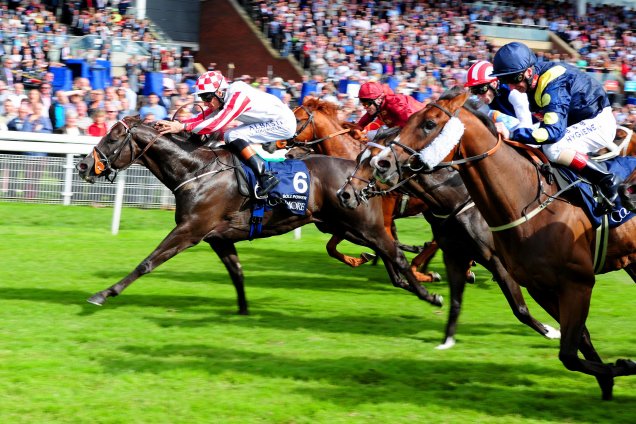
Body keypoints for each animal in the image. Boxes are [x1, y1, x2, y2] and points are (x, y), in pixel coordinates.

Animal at [372, 88, 636, 400]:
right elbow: (576, 342)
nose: (382, 163)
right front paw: (607, 380)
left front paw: (624, 365)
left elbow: (568, 351)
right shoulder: (539, 286)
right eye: (407, 119)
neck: (525, 200)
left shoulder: (577, 282)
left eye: (429, 123)